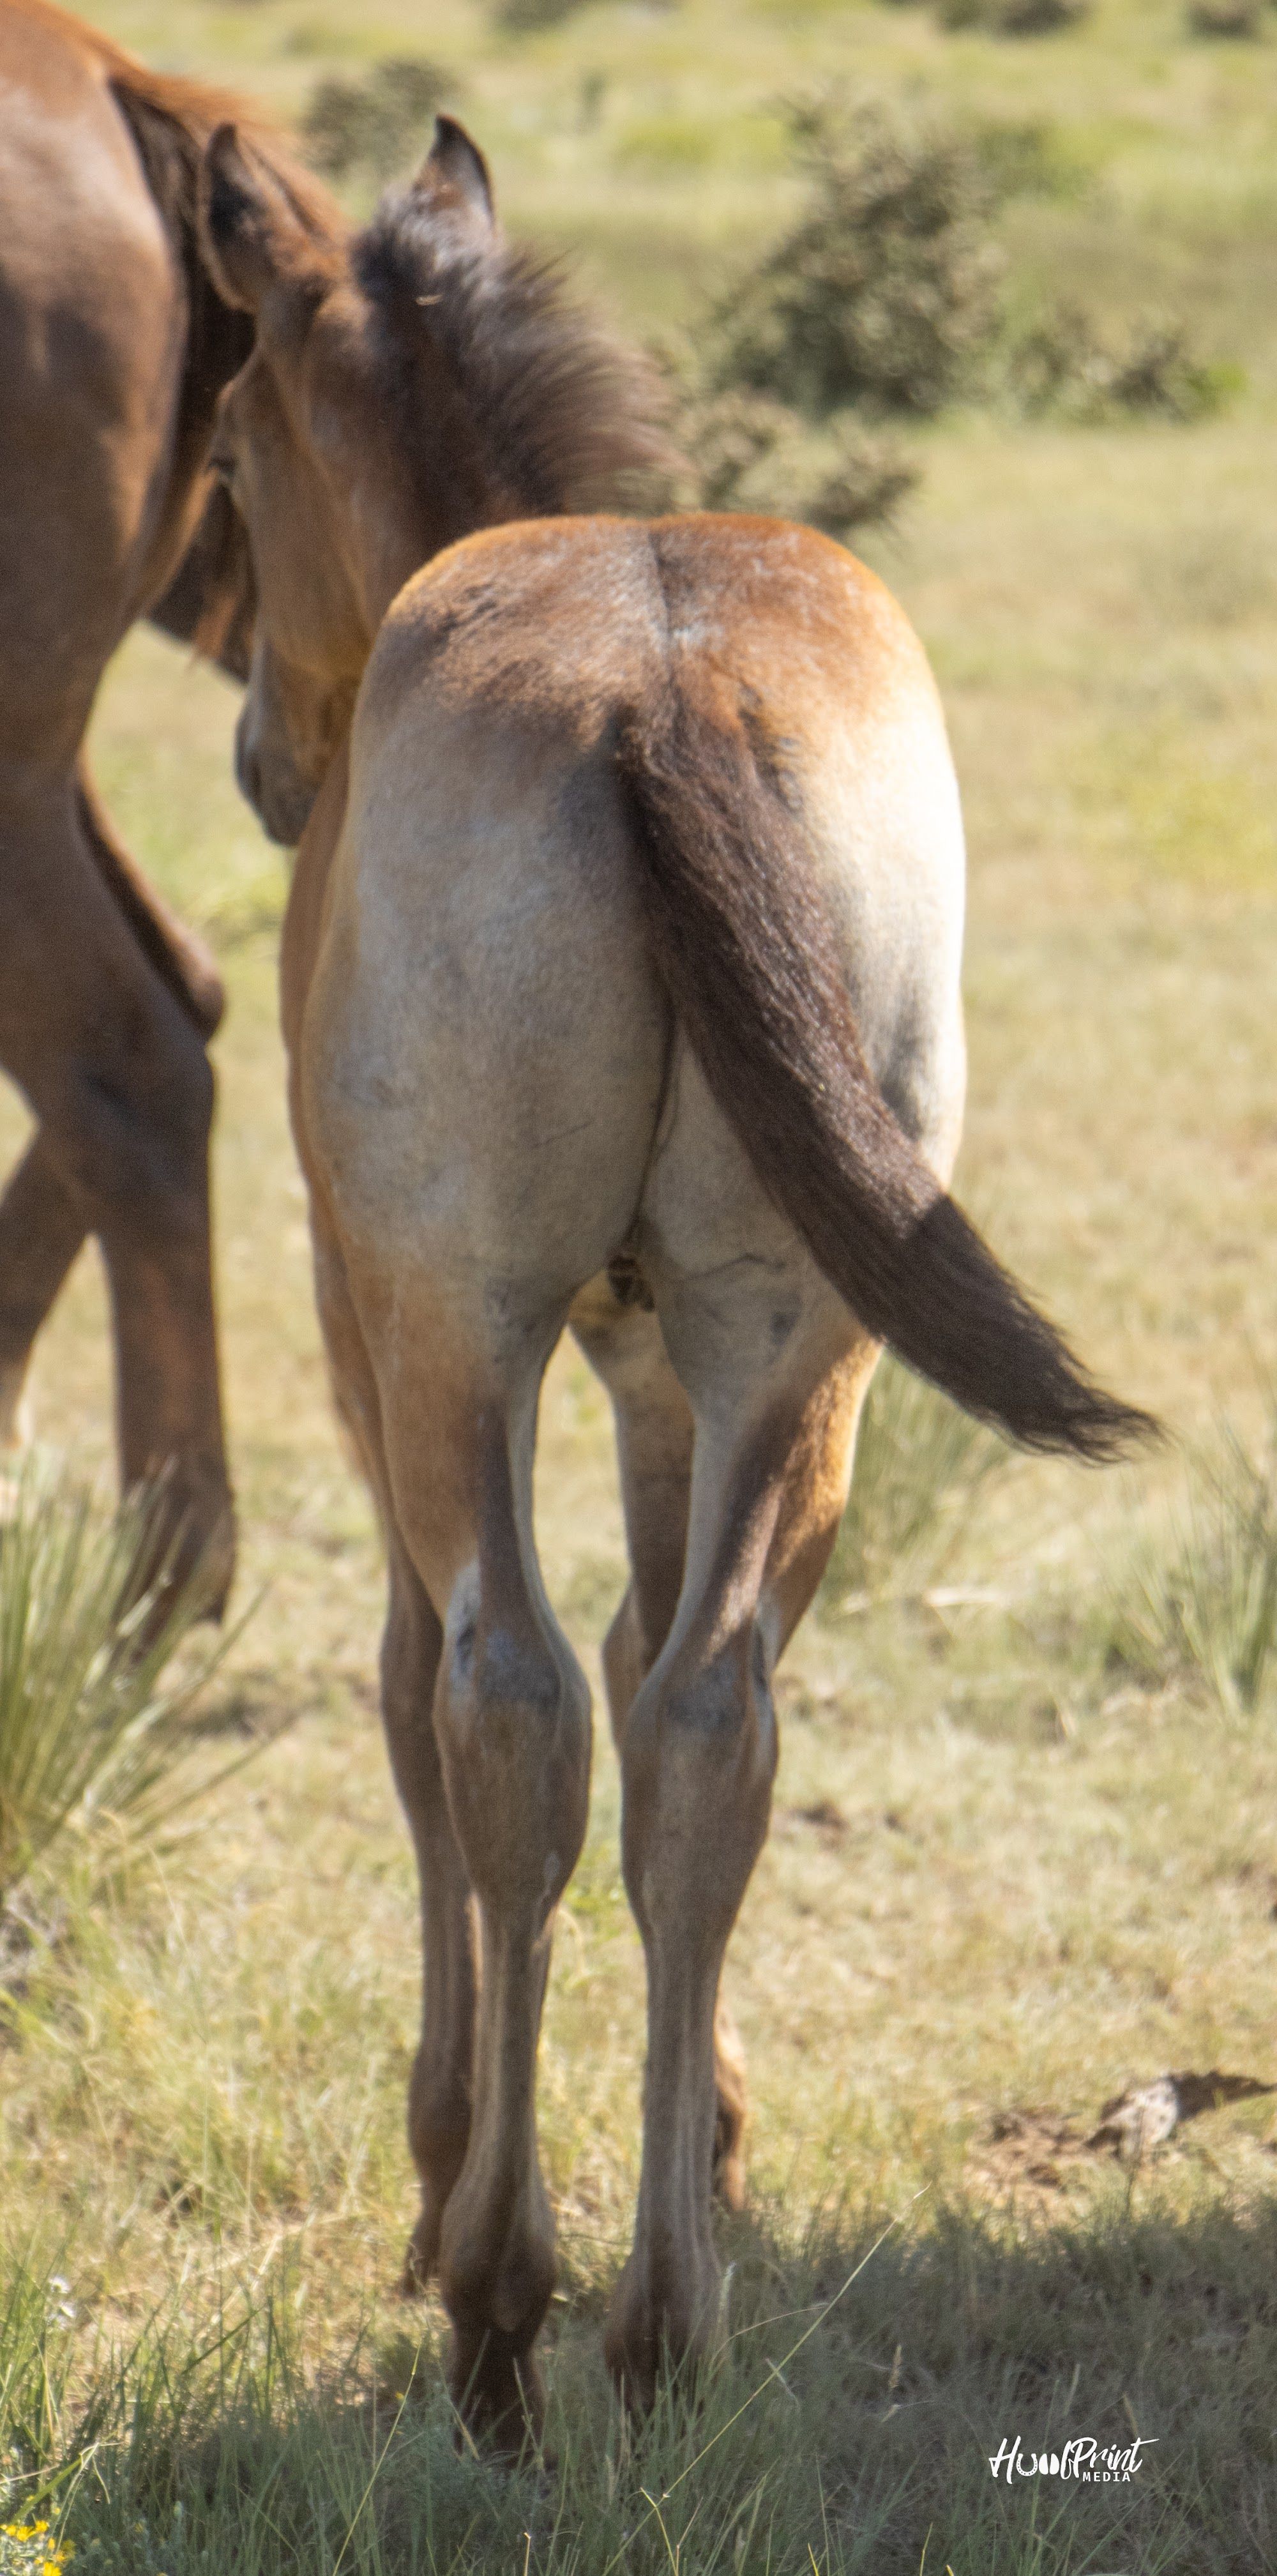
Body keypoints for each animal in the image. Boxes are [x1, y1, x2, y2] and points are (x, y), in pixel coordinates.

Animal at [197, 114, 1153, 2439]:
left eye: (236, 447)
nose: (266, 760)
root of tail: (662, 679)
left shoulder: (376, 1335)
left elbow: (421, 1696)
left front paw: (448, 2141)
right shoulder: (655, 1373)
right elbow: (656, 1657)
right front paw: (703, 2128)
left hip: (458, 1337)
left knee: (510, 1705)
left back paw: (504, 2304)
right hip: (796, 1351)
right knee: (710, 1716)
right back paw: (663, 2317)